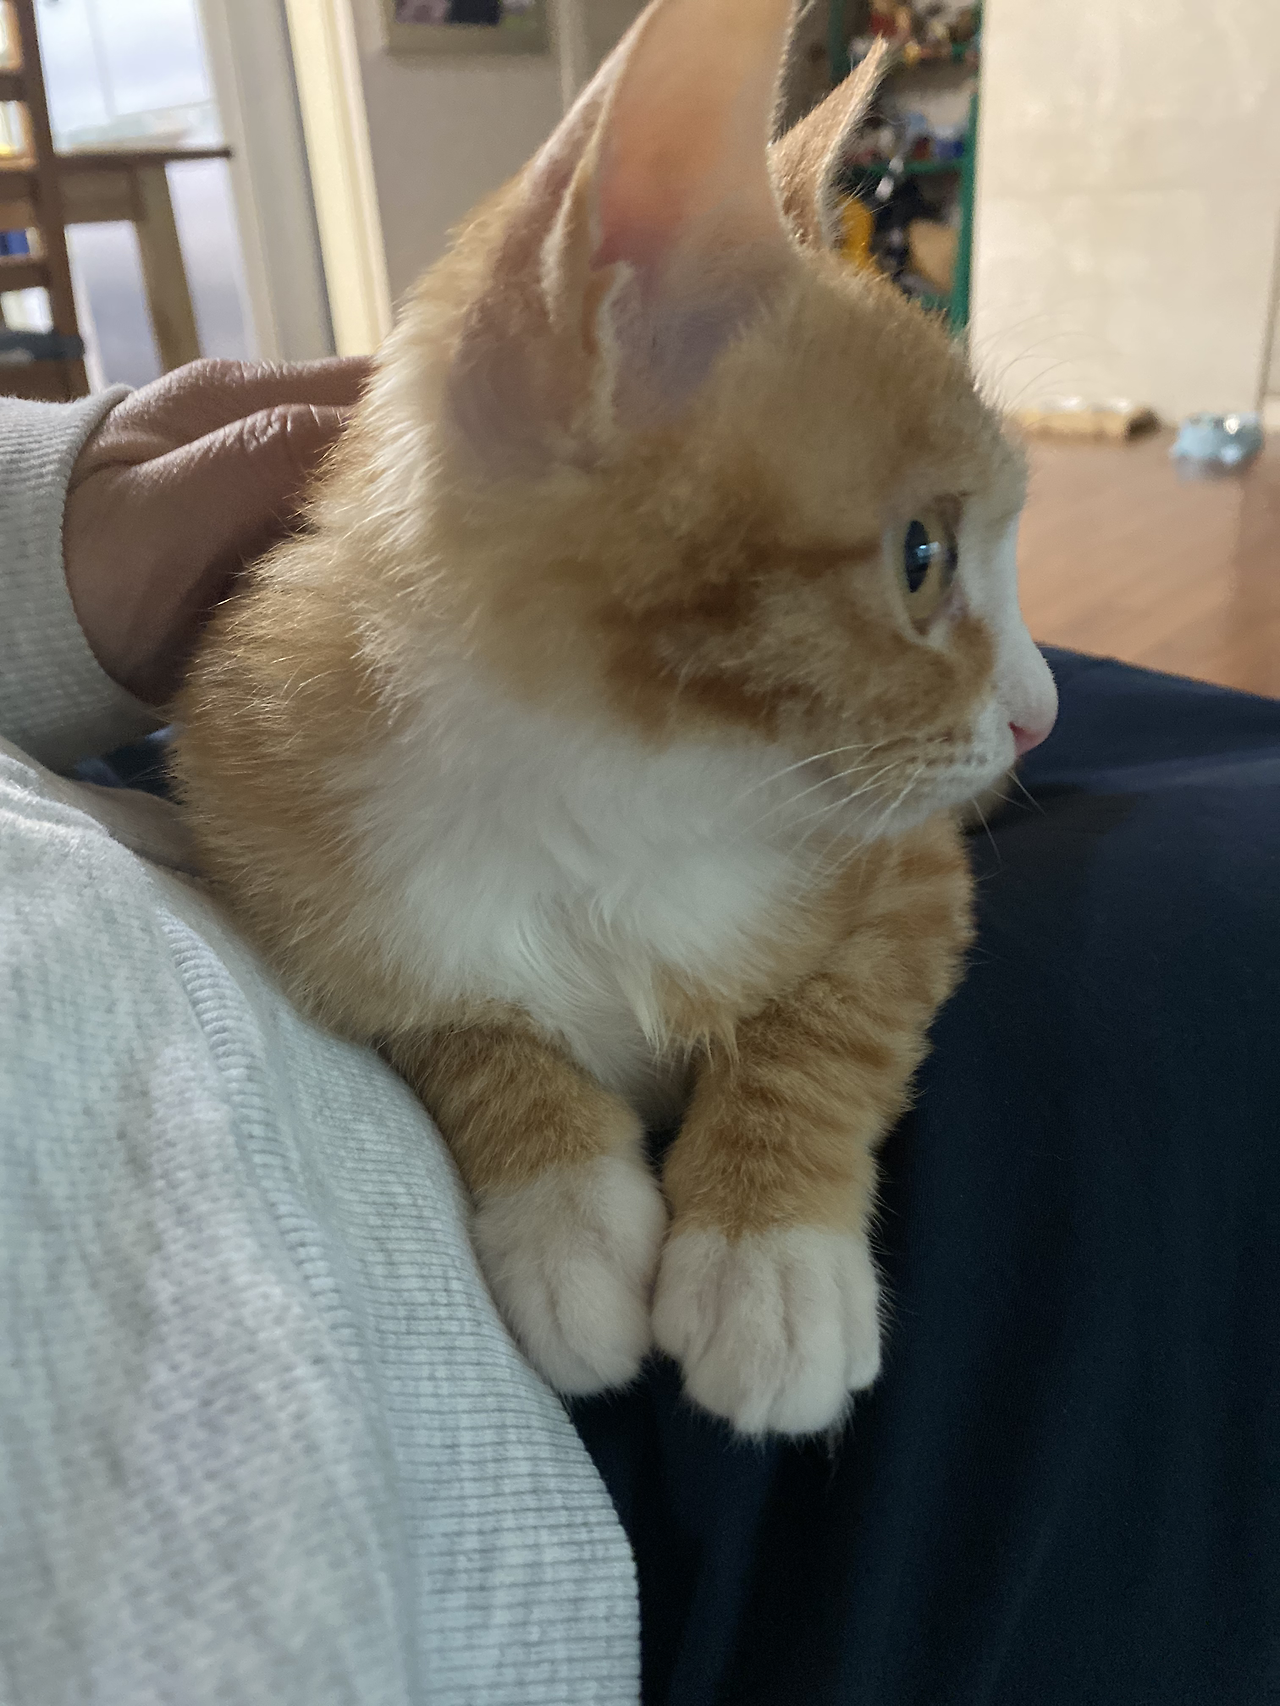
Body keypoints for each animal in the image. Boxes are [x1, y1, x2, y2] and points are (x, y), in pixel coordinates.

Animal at [174, 0, 1056, 1437]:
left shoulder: (912, 866)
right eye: (921, 556)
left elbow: (836, 1017)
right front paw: (562, 1209)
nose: (1042, 712)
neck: (619, 788)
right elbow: (454, 1021)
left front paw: (770, 1251)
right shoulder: (280, 848)